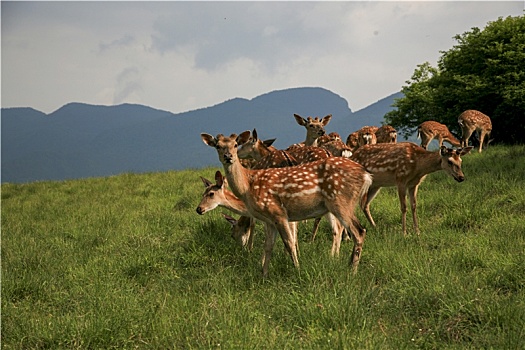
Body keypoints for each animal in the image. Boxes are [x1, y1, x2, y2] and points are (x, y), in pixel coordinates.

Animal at [202, 130, 372, 278]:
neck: (248, 187)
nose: (228, 156)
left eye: (236, 144)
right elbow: (268, 246)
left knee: (358, 231)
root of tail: (366, 175)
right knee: (349, 229)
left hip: (341, 201)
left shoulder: (278, 213)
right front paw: (263, 275)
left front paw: (297, 269)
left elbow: (289, 242)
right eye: (218, 146)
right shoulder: (269, 219)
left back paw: (352, 271)